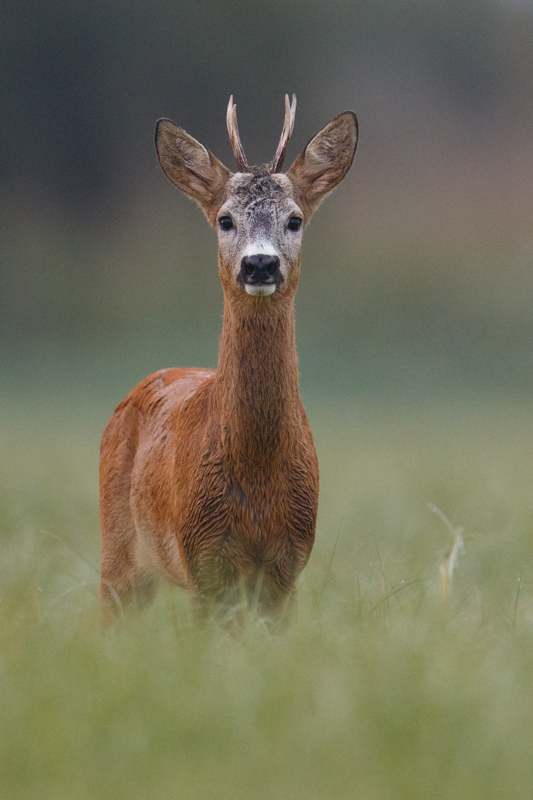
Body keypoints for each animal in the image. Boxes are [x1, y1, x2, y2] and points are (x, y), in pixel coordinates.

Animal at [99, 95, 358, 624]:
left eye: (295, 219)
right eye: (225, 219)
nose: (260, 264)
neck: (257, 486)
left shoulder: (288, 565)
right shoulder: (202, 557)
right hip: (116, 545)